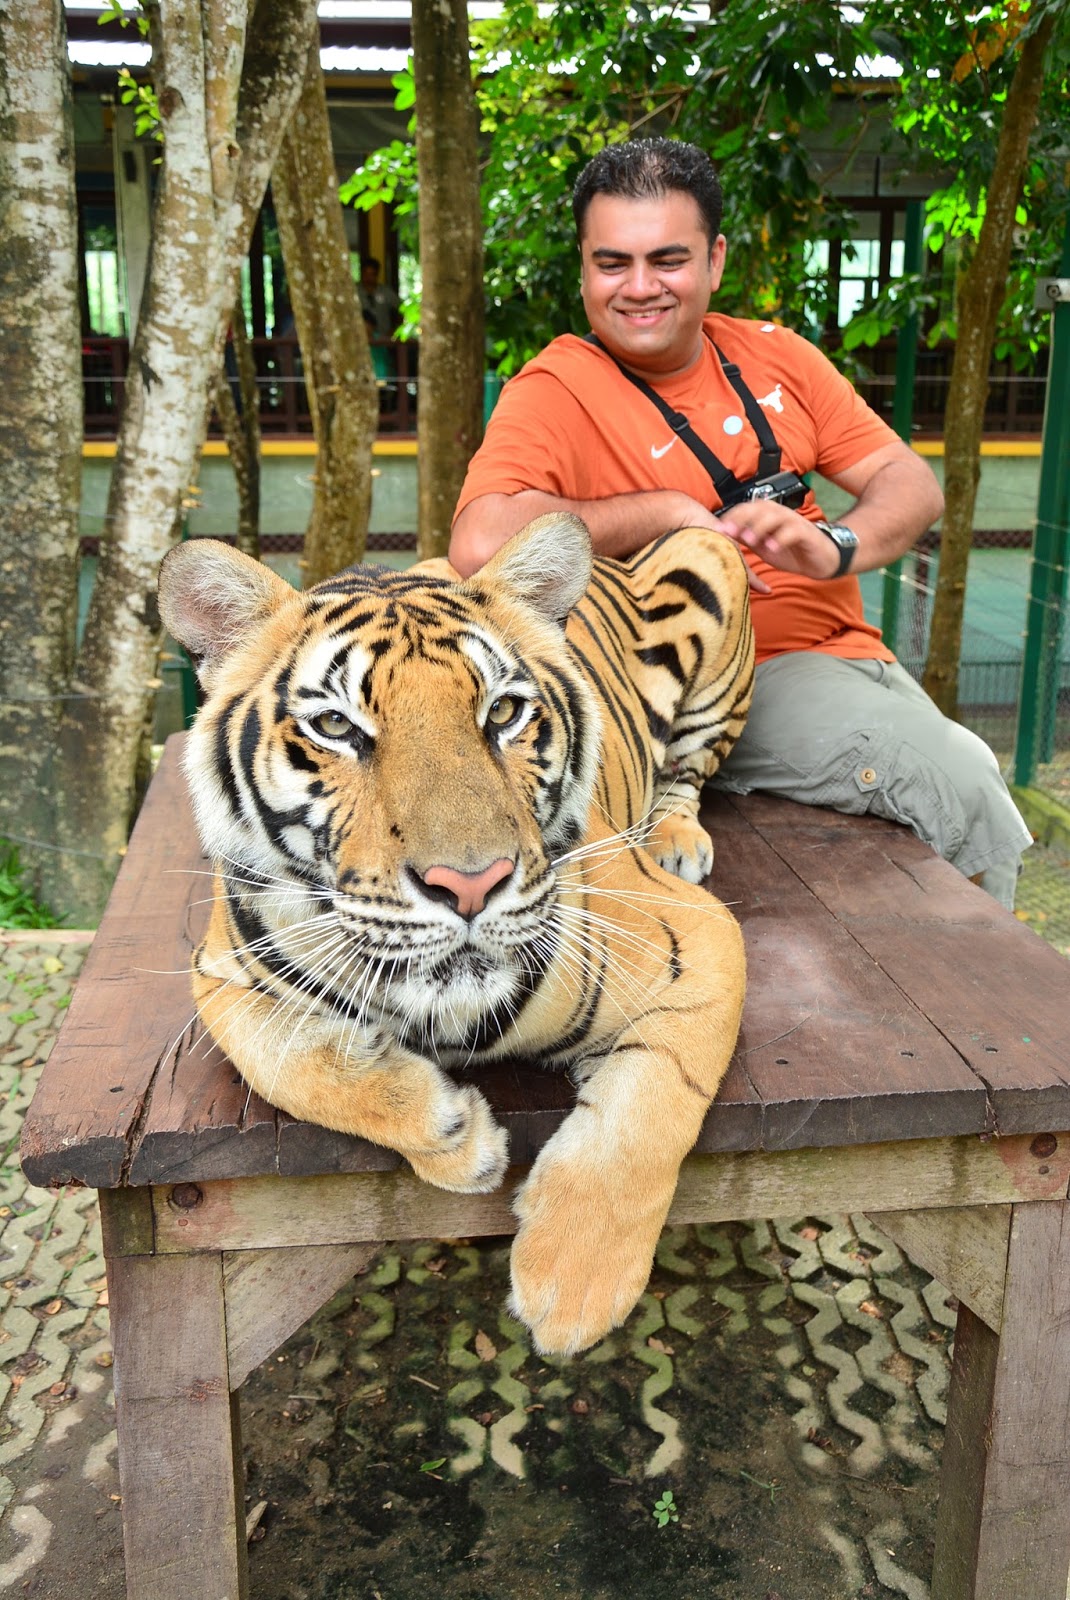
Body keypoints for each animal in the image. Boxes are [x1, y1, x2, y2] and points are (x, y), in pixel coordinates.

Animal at [157, 512, 753, 1356]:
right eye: (335, 726)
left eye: (502, 713)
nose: (470, 884)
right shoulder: (221, 975)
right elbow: (287, 1064)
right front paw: (453, 1136)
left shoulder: (698, 937)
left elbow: (653, 1105)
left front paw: (572, 1284)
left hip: (710, 559)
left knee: (689, 770)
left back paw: (674, 835)